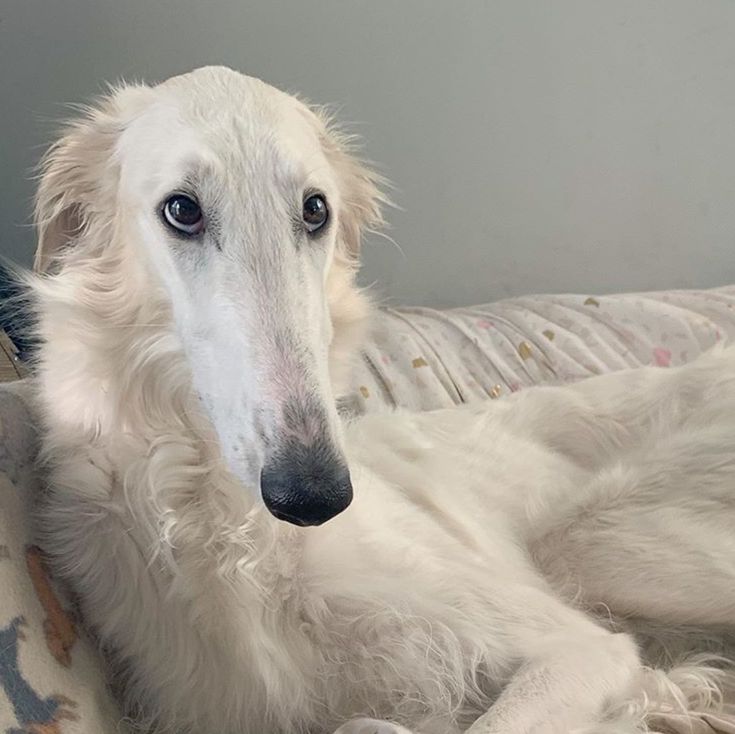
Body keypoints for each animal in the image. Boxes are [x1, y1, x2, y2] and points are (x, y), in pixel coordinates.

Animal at [28, 66, 735, 732]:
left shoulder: (581, 648)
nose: (315, 497)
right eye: (182, 209)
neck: (231, 532)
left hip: (596, 544)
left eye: (316, 210)